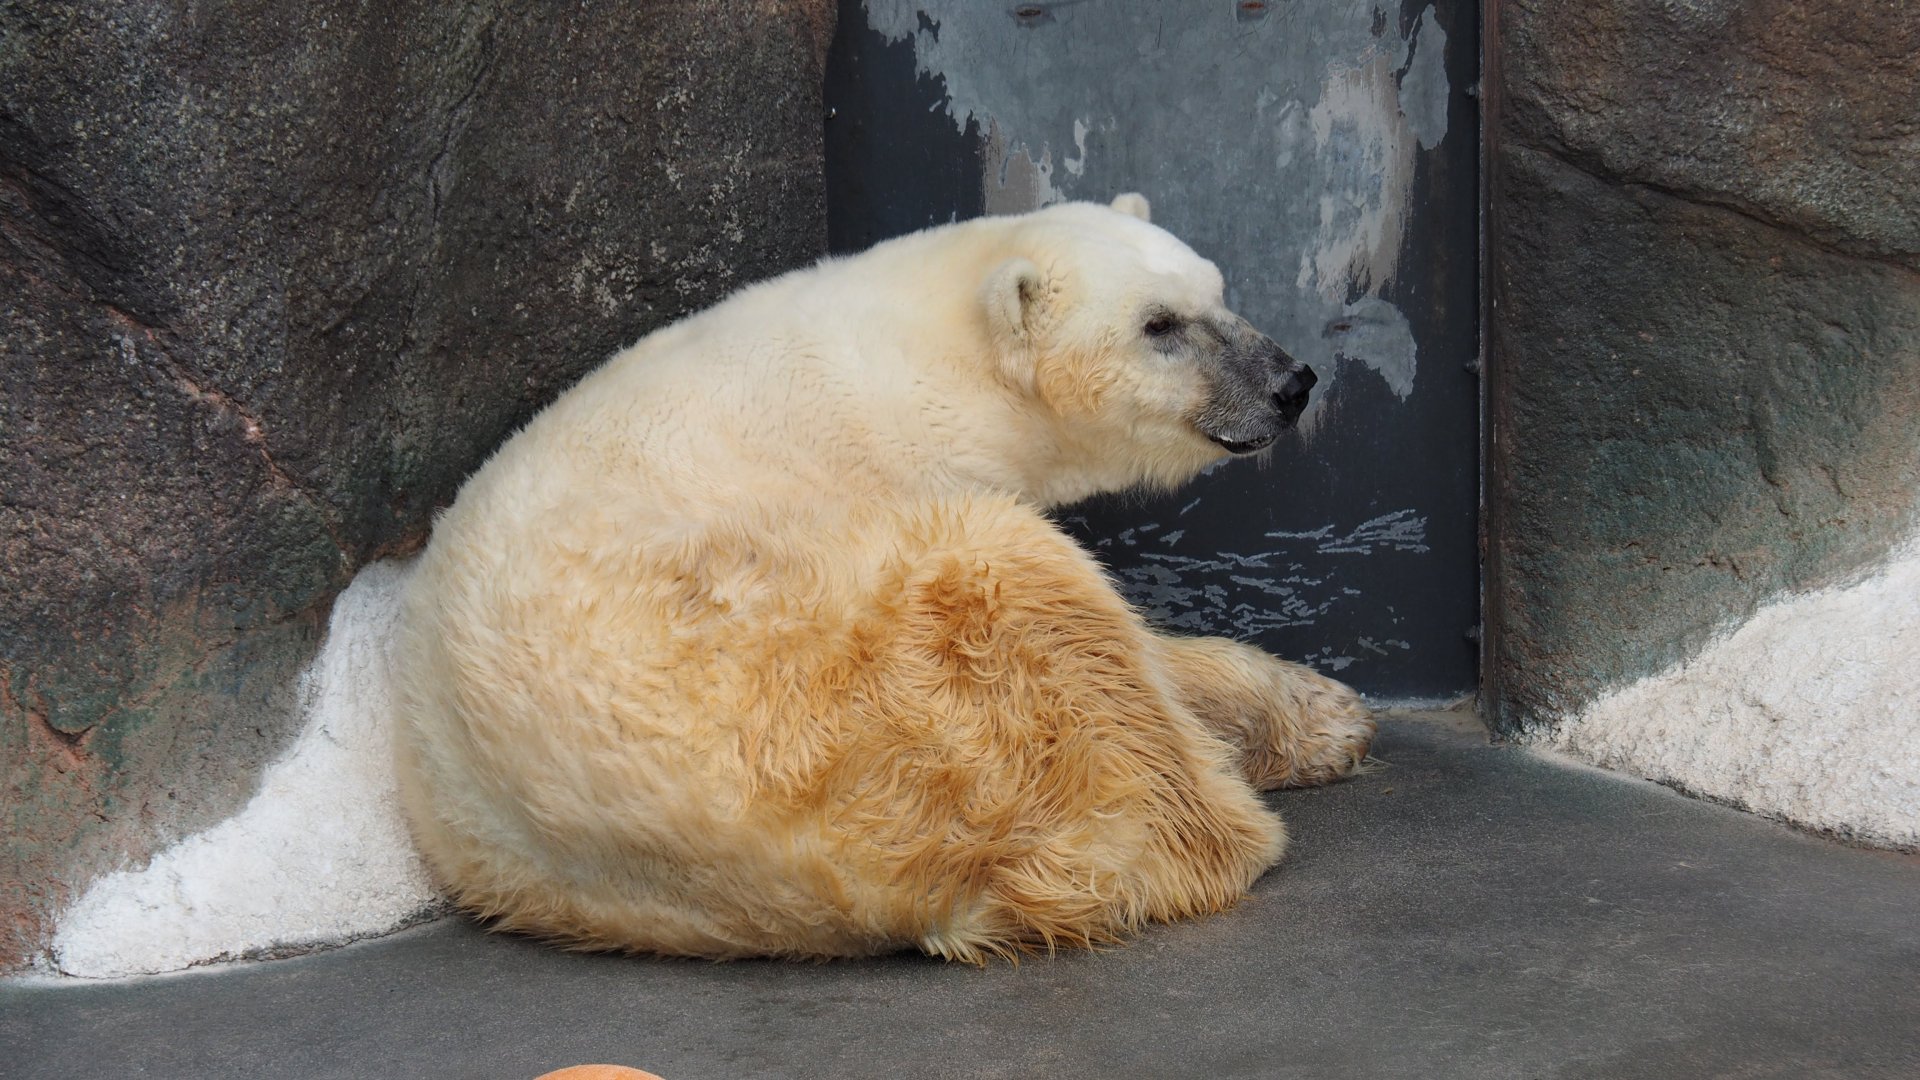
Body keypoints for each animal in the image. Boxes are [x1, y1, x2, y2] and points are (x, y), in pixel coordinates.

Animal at [392, 194, 1375, 962]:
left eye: (1218, 291)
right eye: (1158, 325)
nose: (1292, 383)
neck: (931, 359)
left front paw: (1317, 717)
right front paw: (1311, 714)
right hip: (849, 675)